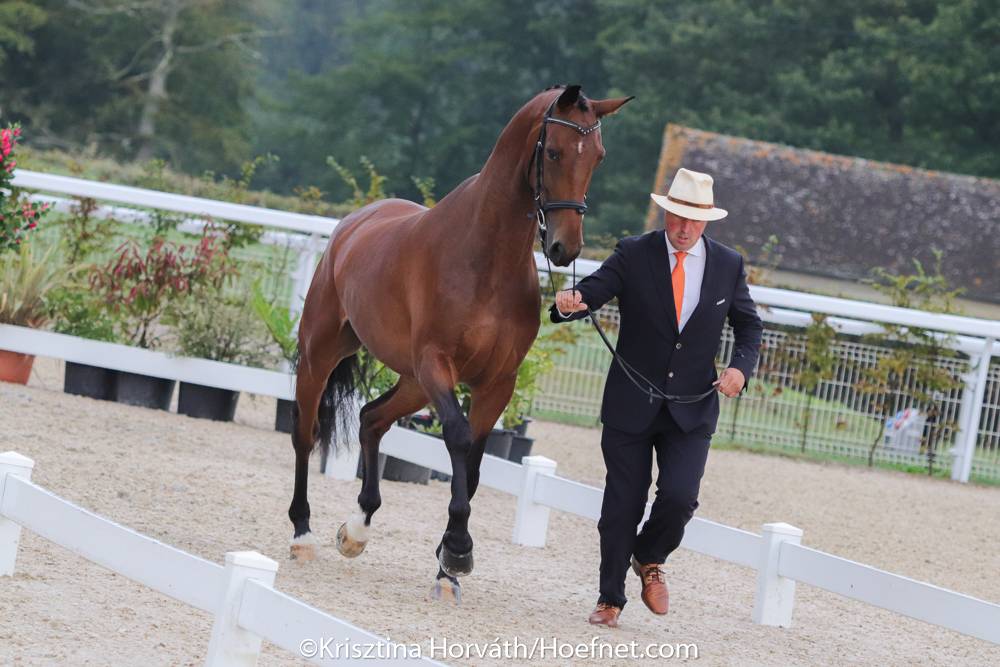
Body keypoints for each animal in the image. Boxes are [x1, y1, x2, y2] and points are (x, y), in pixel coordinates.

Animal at [288, 84, 632, 600]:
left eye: (598, 156)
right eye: (553, 152)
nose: (565, 248)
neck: (484, 257)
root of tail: (355, 223)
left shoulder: (497, 383)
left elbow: (472, 462)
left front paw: (447, 566)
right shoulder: (438, 366)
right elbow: (456, 436)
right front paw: (458, 550)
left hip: (412, 382)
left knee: (371, 420)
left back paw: (357, 530)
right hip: (324, 354)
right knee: (305, 434)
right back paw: (303, 534)